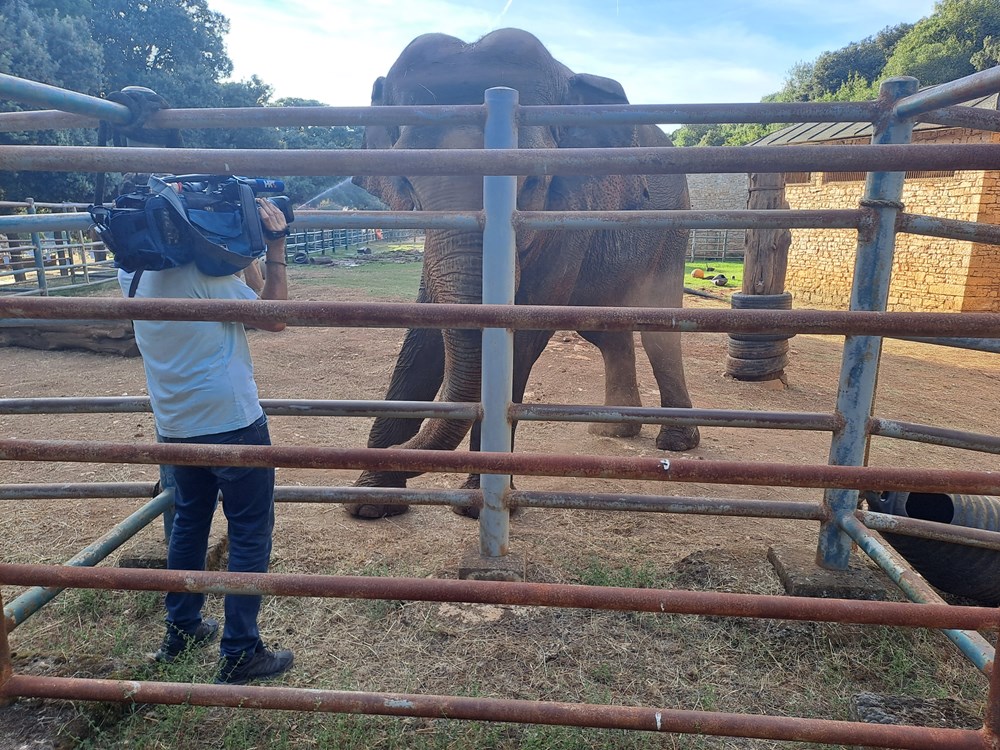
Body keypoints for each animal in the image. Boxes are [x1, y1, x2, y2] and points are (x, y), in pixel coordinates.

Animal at [348, 26, 700, 520]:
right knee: (605, 329)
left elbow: (524, 328)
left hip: (671, 231)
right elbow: (425, 328)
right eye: (407, 188)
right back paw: (612, 431)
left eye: (532, 182)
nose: (398, 455)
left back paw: (675, 442)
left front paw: (477, 502)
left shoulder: (570, 210)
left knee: (658, 328)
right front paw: (369, 501)